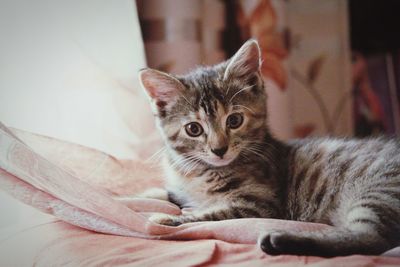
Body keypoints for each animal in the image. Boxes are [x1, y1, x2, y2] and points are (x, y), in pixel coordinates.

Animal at [138, 39, 400, 258]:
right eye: (193, 129)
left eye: (234, 121)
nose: (219, 149)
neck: (199, 171)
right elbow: (174, 194)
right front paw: (145, 195)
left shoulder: (260, 204)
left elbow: (209, 215)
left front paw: (166, 219)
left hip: (379, 189)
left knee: (372, 240)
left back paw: (281, 240)